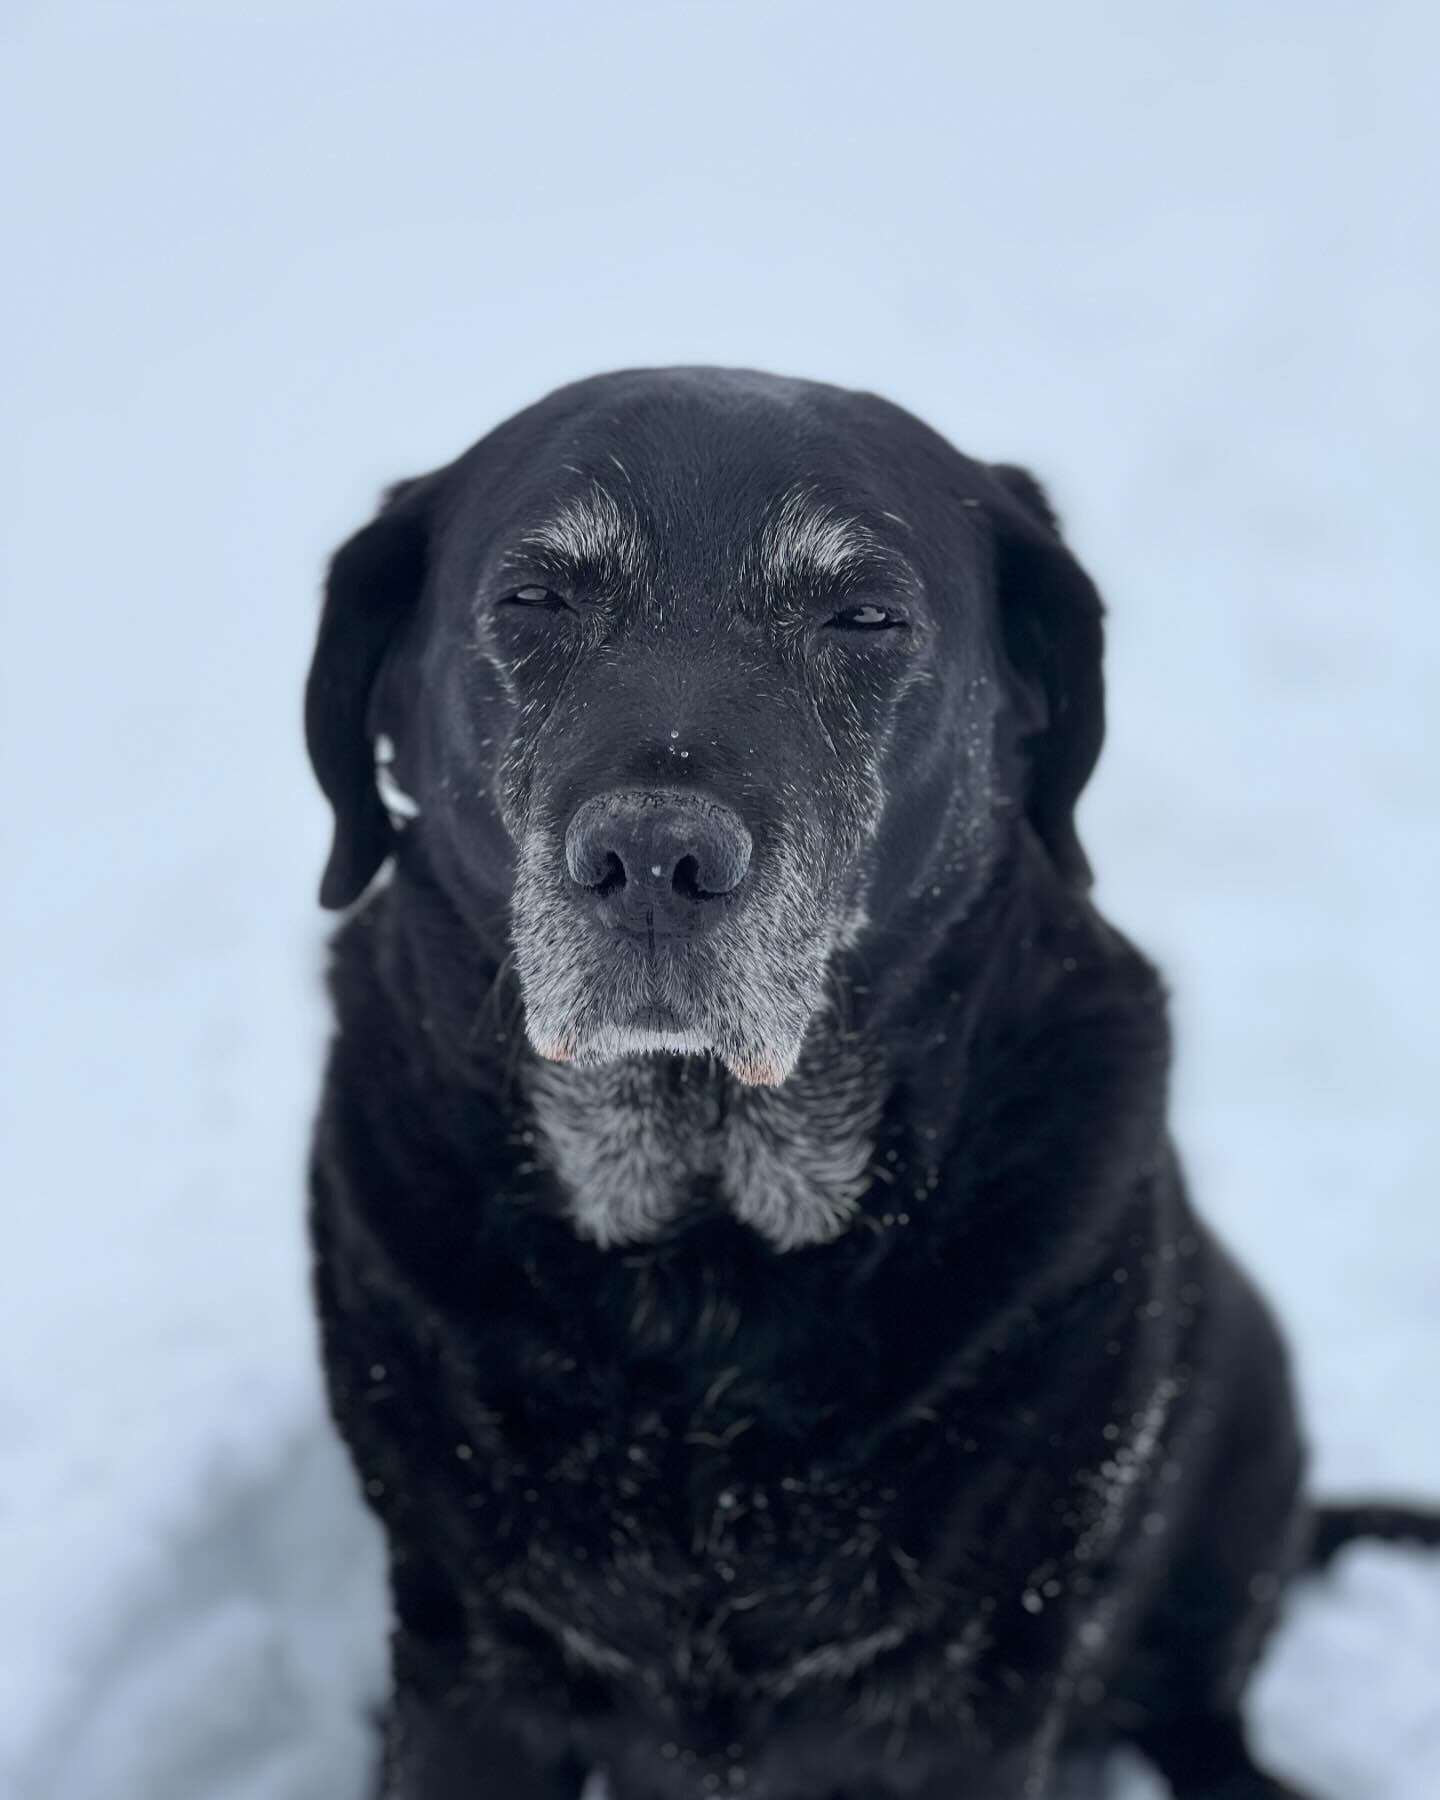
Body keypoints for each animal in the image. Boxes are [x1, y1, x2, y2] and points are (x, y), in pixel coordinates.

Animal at [300, 369, 1425, 1800]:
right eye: (535, 597)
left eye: (865, 615)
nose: (653, 859)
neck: (706, 1271)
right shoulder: (467, 1668)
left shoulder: (980, 1703)